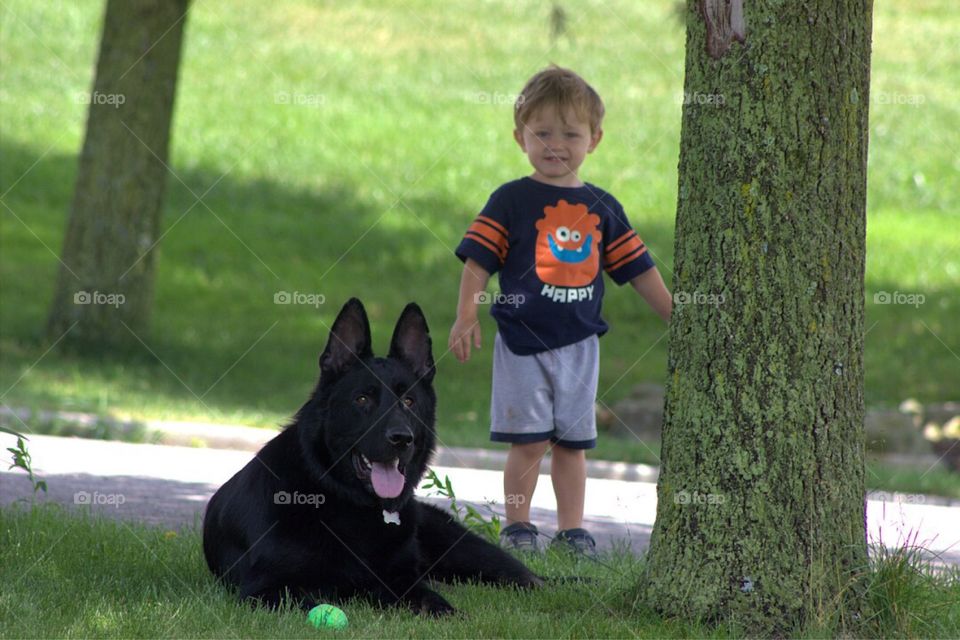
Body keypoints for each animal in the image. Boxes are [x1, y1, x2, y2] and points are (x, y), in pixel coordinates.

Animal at [202, 300, 540, 616]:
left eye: (408, 401)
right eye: (362, 399)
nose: (402, 438)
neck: (346, 502)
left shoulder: (402, 582)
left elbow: (434, 602)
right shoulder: (266, 589)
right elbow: (308, 603)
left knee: (530, 579)